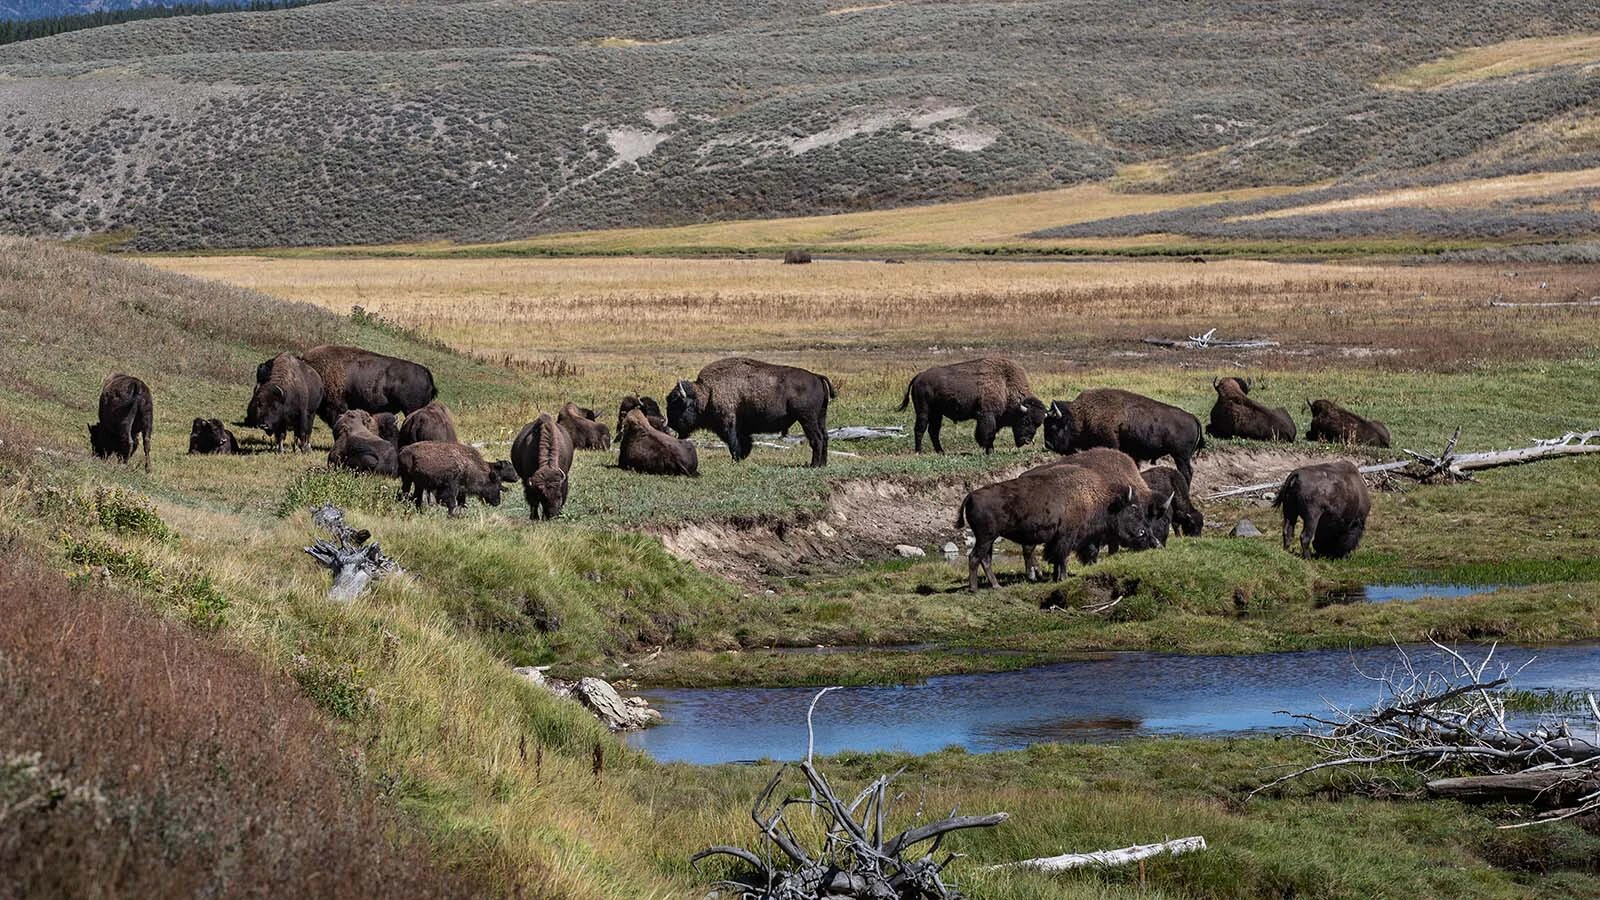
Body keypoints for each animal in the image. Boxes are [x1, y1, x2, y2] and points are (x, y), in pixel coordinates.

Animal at [668, 357, 835, 467]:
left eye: (677, 405)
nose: (670, 425)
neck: (707, 393)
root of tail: (816, 377)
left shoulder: (729, 424)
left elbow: (734, 443)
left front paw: (736, 460)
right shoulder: (741, 428)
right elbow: (745, 442)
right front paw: (742, 458)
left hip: (807, 419)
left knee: (817, 439)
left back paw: (814, 465)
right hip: (820, 416)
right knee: (825, 437)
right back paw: (822, 464)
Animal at [899, 358, 1047, 454]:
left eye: (1038, 425)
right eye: (1026, 420)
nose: (1027, 441)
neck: (1005, 384)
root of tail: (919, 376)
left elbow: (992, 433)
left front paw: (989, 450)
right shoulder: (986, 415)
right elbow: (988, 433)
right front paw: (989, 450)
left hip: (937, 414)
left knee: (933, 431)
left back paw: (941, 451)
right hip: (923, 411)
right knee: (920, 429)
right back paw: (919, 451)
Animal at [1044, 388, 1204, 483]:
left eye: (1054, 426)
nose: (1048, 444)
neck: (1082, 416)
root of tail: (1192, 417)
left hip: (1180, 456)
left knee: (1187, 473)